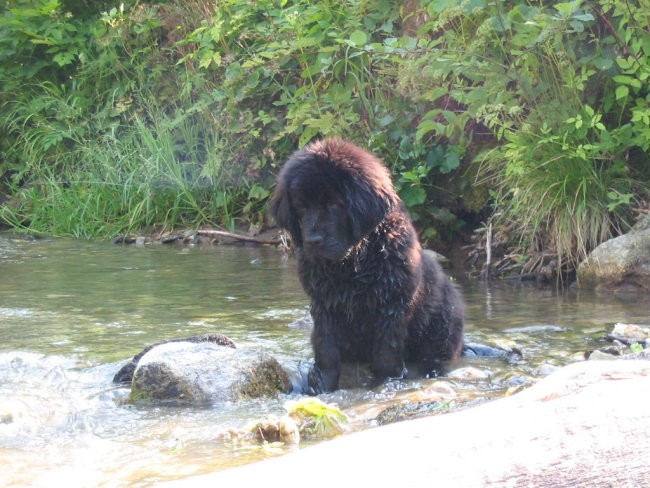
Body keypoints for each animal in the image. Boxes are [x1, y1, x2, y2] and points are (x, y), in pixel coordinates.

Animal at [270, 138, 466, 392]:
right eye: (301, 207)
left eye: (335, 204)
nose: (312, 241)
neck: (353, 263)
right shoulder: (324, 307)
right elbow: (326, 350)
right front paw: (321, 386)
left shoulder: (391, 309)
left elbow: (386, 357)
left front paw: (385, 384)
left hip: (442, 327)